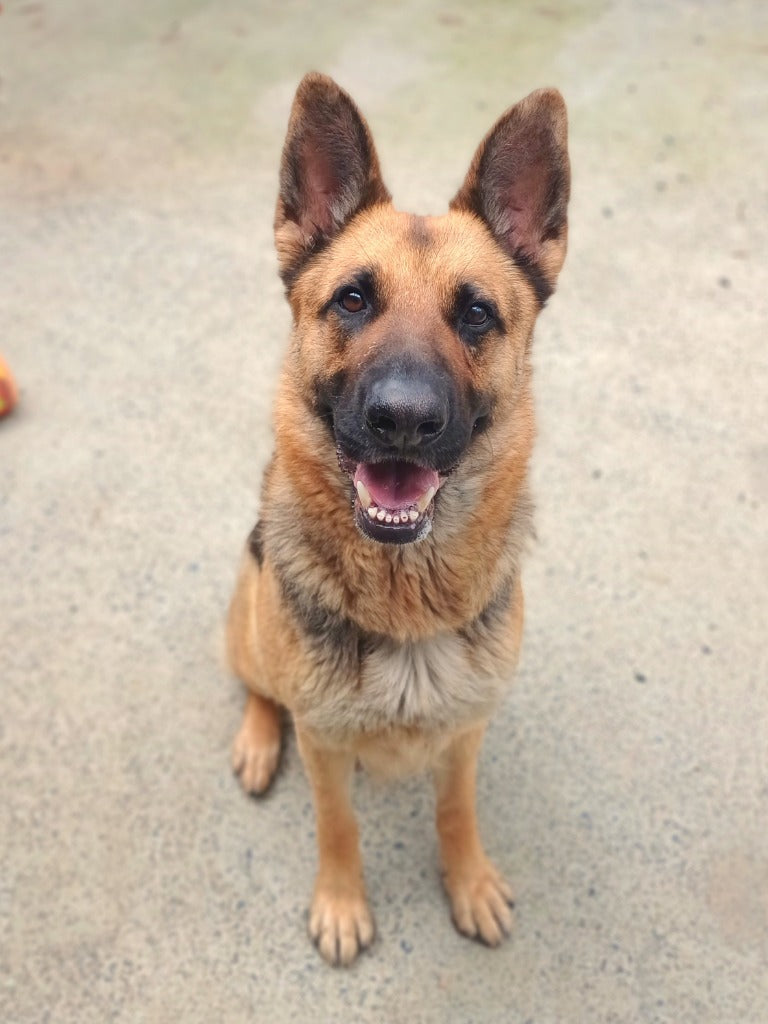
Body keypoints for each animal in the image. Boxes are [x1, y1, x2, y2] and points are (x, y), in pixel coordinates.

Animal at [227, 72, 570, 965]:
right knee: (258, 686)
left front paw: (469, 881)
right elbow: (337, 824)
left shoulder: (466, 734)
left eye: (477, 314)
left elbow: (457, 810)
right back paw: (256, 739)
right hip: (248, 621)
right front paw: (342, 902)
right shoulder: (323, 744)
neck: (405, 603)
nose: (403, 420)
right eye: (352, 299)